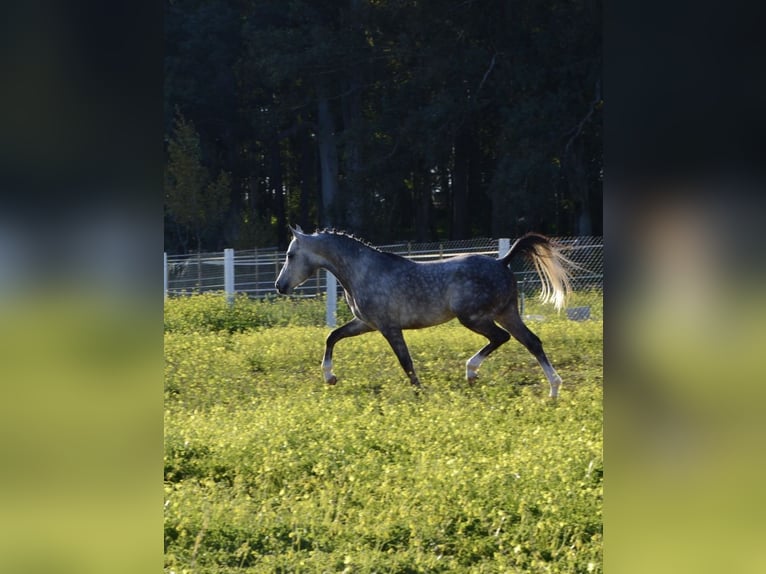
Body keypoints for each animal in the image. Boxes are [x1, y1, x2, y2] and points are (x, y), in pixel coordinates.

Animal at [274, 227, 568, 398]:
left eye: (290, 255)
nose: (279, 286)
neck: (363, 271)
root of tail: (502, 261)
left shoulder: (389, 328)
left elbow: (406, 363)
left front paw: (420, 395)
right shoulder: (365, 323)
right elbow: (332, 337)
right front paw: (330, 378)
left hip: (474, 317)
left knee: (501, 338)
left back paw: (471, 372)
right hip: (505, 313)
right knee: (531, 342)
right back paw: (552, 391)